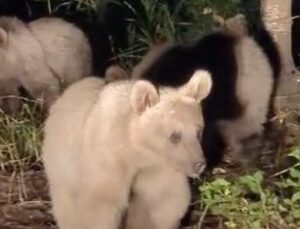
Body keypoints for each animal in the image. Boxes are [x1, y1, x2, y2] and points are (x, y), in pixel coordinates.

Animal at [42, 70, 212, 229]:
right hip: (62, 158)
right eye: (175, 136)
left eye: (199, 131)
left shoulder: (158, 166)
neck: (138, 148)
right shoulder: (108, 156)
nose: (199, 164)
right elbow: (100, 204)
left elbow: (160, 201)